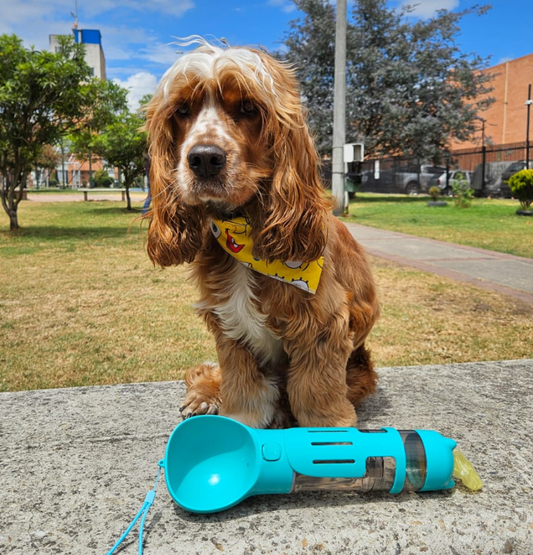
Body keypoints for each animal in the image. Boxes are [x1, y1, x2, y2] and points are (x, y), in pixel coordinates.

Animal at [144, 39, 378, 430]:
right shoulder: (228, 324)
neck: (244, 227)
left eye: (249, 108)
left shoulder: (322, 325)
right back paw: (204, 396)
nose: (204, 159)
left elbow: (316, 394)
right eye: (182, 110)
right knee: (211, 374)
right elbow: (243, 387)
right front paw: (238, 422)